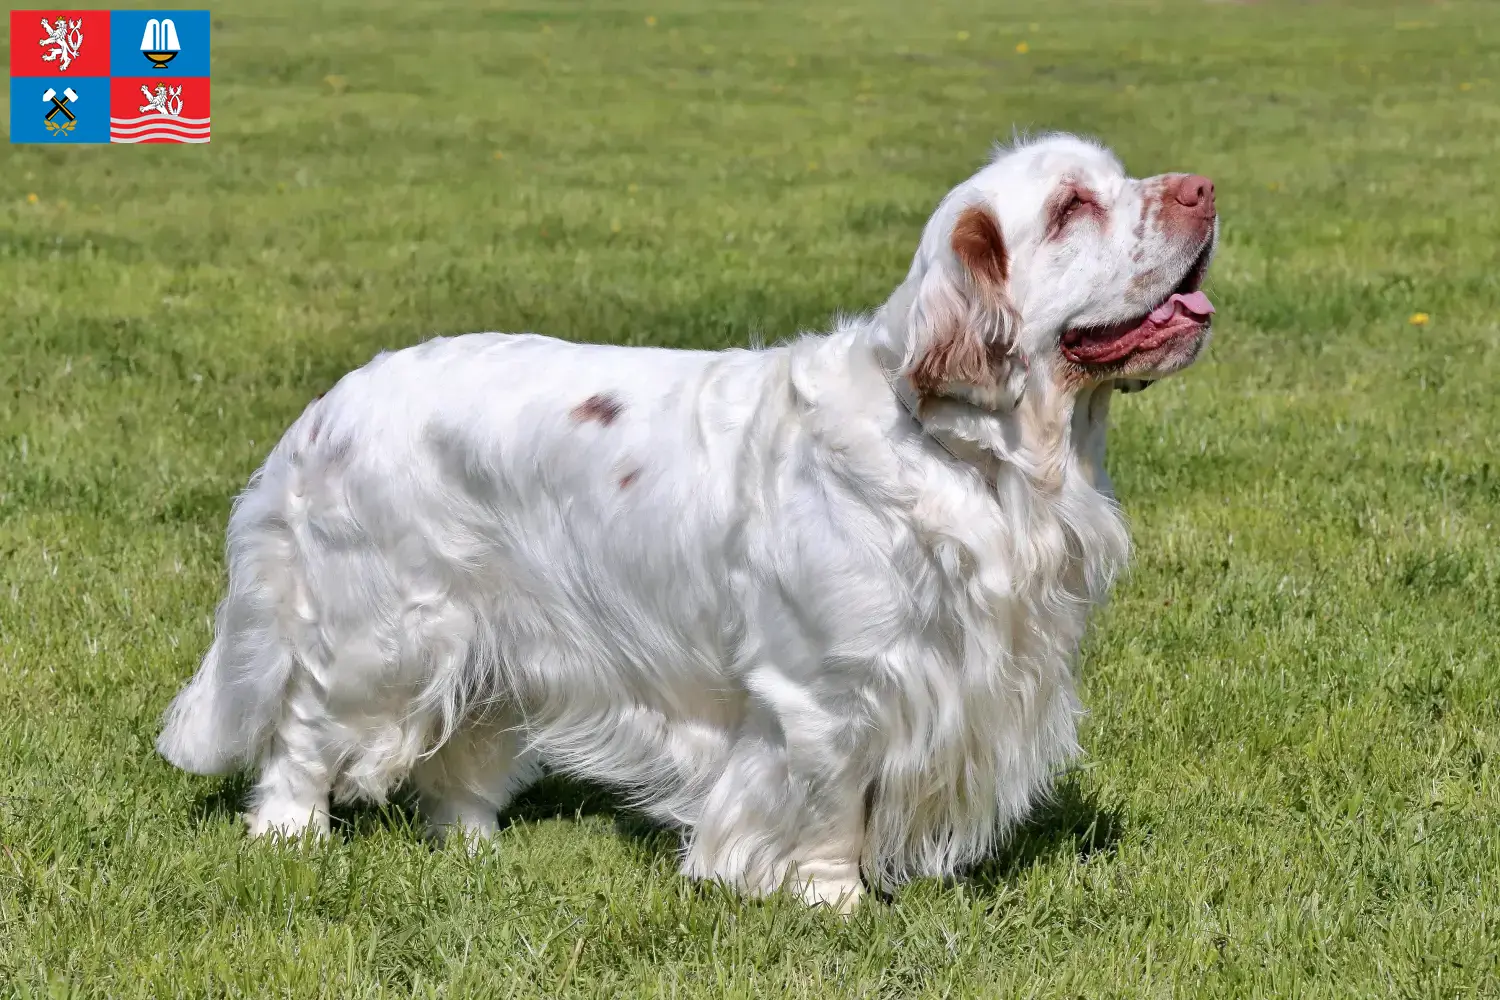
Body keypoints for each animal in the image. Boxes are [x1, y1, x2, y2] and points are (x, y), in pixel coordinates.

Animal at [158, 134, 1218, 917]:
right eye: (1073, 207)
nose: (1205, 189)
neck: (971, 455)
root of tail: (328, 406)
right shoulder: (825, 691)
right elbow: (832, 804)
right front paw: (833, 903)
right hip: (383, 631)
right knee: (304, 725)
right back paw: (289, 831)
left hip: (497, 636)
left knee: (461, 746)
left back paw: (473, 846)